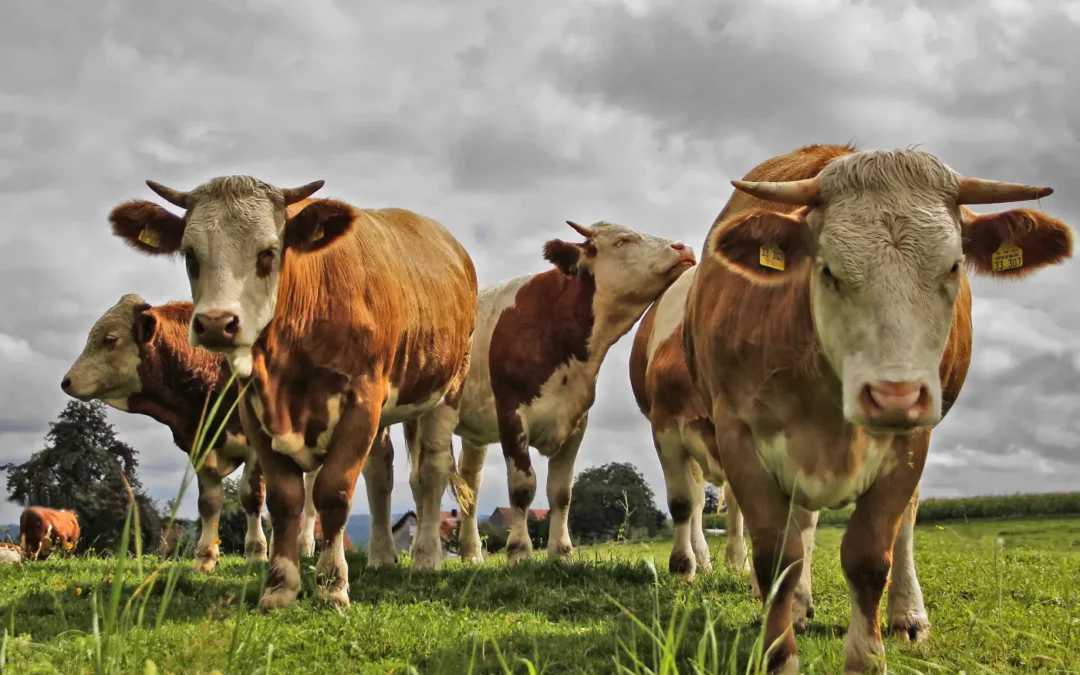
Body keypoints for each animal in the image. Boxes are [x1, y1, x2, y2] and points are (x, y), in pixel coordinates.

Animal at [107, 176, 478, 611]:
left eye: (268, 252)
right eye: (190, 254)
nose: (216, 323)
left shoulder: (362, 400)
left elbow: (333, 491)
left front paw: (332, 585)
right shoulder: (254, 410)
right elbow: (285, 498)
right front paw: (280, 586)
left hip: (447, 388)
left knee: (432, 470)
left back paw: (424, 558)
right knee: (379, 471)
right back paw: (383, 555)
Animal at [437, 220, 697, 564]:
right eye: (622, 240)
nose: (684, 247)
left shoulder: (576, 421)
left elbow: (561, 493)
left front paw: (561, 552)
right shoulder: (511, 416)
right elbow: (522, 488)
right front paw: (519, 551)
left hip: (473, 430)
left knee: (470, 483)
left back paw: (472, 554)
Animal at [682, 144, 1074, 674]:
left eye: (954, 266)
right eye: (828, 270)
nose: (895, 395)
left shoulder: (911, 440)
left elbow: (870, 554)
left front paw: (867, 655)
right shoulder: (738, 433)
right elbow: (778, 557)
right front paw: (779, 652)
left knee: (903, 525)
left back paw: (908, 615)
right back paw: (800, 607)